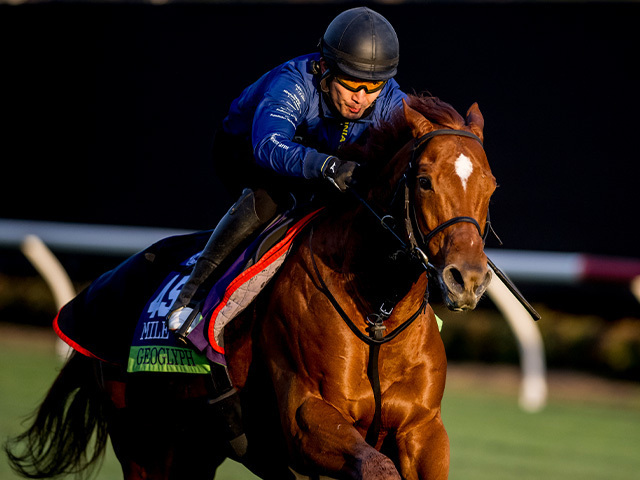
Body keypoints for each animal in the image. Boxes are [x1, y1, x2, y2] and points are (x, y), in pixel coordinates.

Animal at [3, 94, 496, 480]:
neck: (378, 315)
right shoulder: (306, 419)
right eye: (425, 180)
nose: (467, 280)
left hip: (196, 450)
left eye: (490, 185)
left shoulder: (423, 429)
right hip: (148, 445)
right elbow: (375, 465)